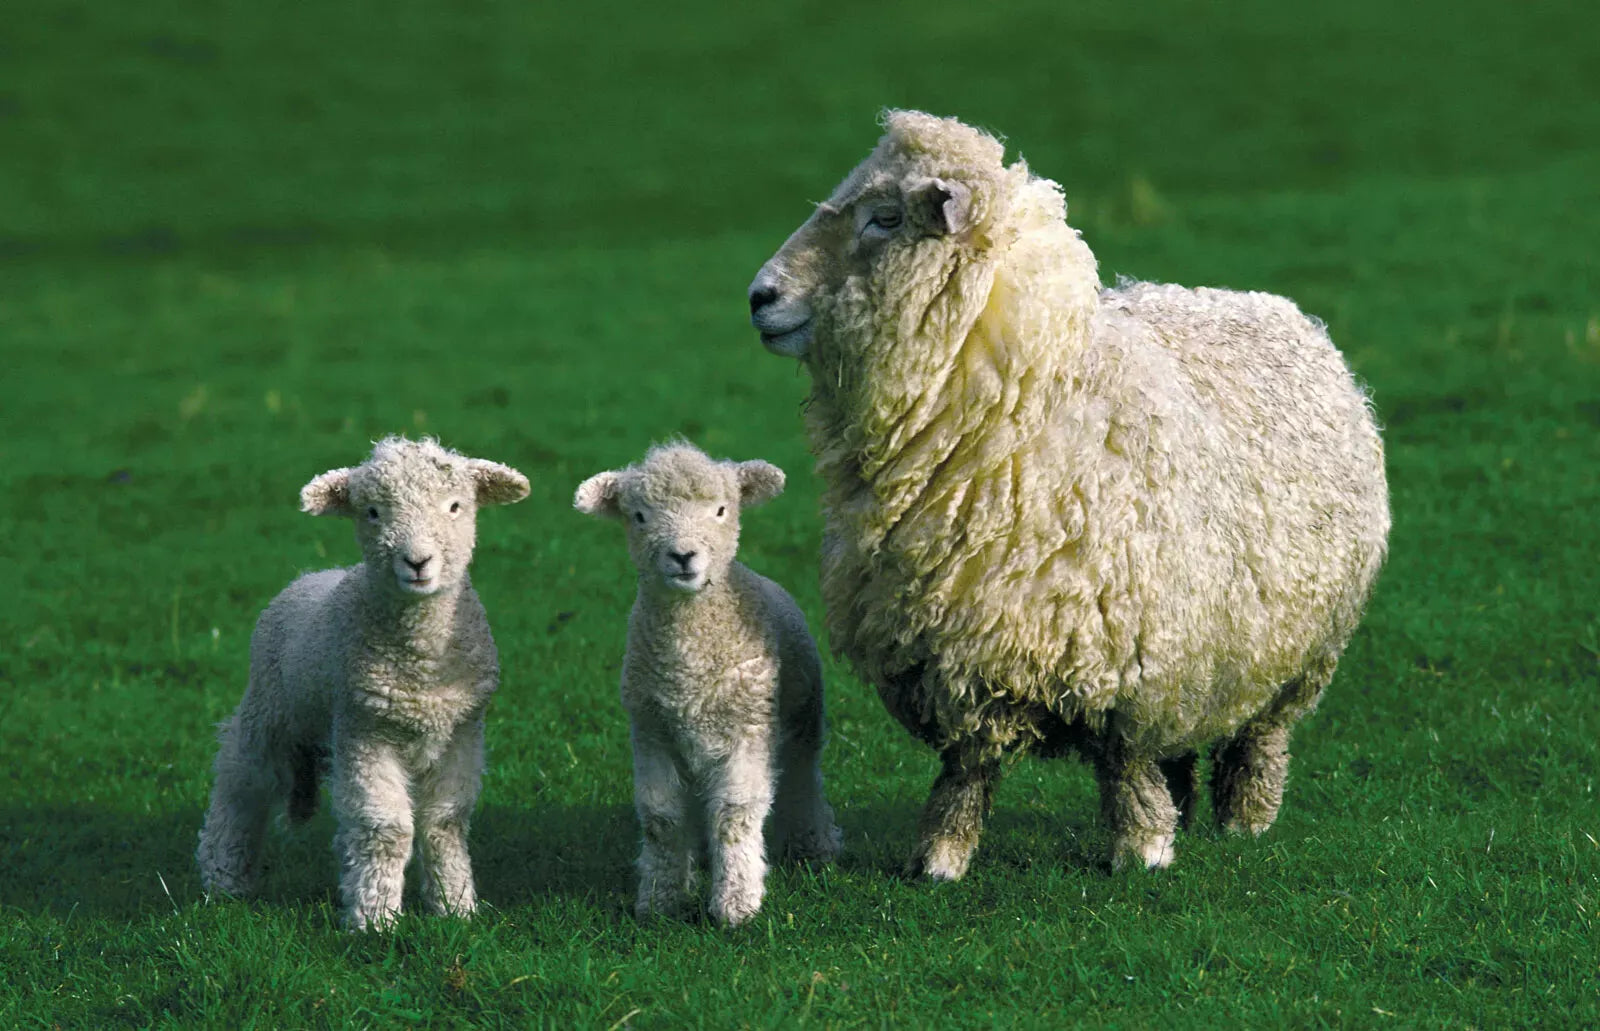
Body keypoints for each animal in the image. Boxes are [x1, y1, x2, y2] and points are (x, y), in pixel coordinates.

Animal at [195, 436, 529, 930]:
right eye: (372, 512)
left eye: (455, 506)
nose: (417, 562)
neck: (421, 660)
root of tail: (310, 576)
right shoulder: (366, 731)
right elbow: (385, 827)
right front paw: (375, 919)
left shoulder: (461, 733)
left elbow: (444, 823)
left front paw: (455, 908)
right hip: (269, 713)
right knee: (241, 783)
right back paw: (223, 877)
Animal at [574, 442, 841, 926]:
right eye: (639, 516)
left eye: (721, 510)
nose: (683, 556)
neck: (689, 661)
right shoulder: (652, 731)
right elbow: (660, 819)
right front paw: (660, 900)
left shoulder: (747, 730)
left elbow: (734, 815)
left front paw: (737, 904)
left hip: (803, 723)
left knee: (803, 781)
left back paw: (816, 848)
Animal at [746, 110, 1390, 879]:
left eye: (885, 218)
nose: (759, 296)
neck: (1021, 408)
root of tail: (1273, 305)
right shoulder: (956, 646)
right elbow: (967, 768)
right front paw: (940, 858)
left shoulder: (1135, 661)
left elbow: (1124, 763)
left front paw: (1142, 851)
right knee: (1181, 752)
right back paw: (1187, 813)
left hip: (1297, 655)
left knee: (1258, 741)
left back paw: (1244, 823)